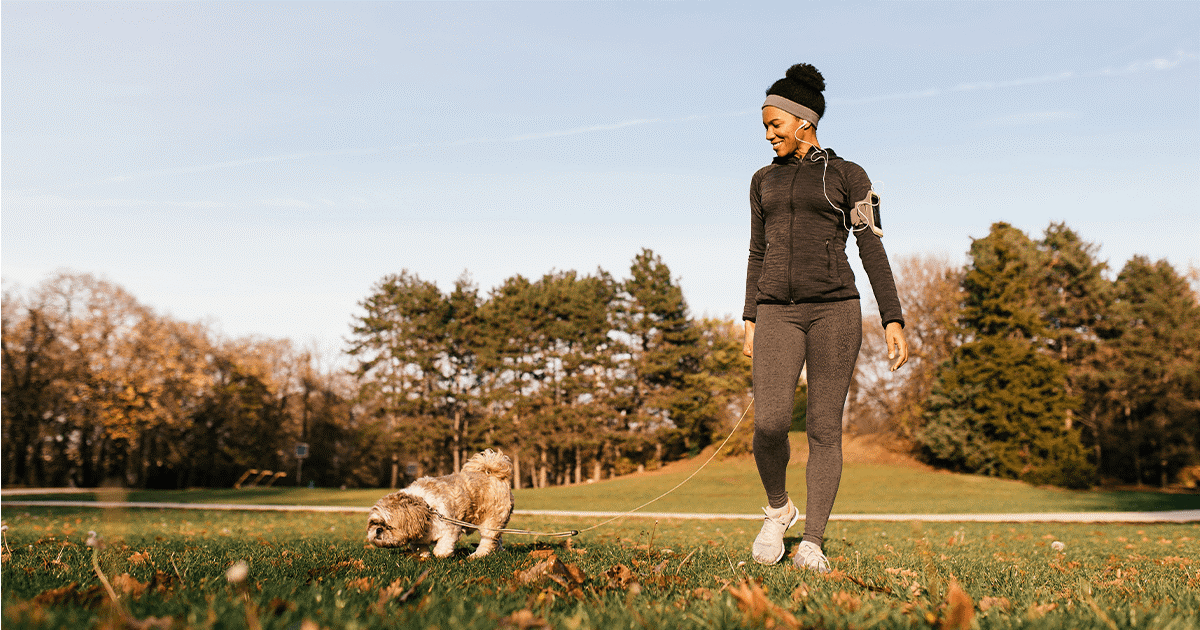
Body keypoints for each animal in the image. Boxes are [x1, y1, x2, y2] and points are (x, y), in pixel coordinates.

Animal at [364, 448, 516, 556]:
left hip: (492, 520)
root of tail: (493, 474)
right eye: (374, 523)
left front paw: (442, 553)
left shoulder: (450, 528)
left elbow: (441, 549)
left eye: (389, 526)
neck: (426, 508)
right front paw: (424, 556)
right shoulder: (419, 538)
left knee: (487, 540)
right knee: (496, 538)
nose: (378, 530)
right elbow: (420, 547)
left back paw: (477, 555)